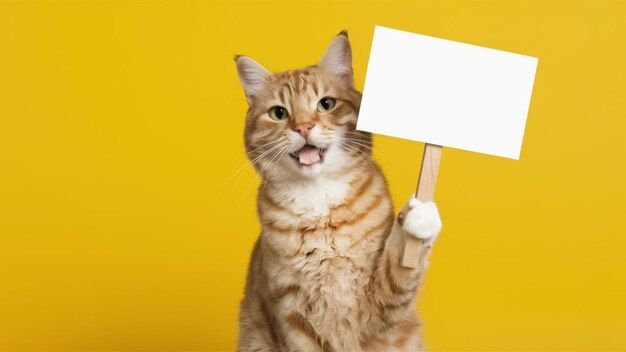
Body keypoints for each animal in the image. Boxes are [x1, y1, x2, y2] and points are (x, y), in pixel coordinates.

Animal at [234, 31, 444, 352]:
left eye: (326, 104)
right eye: (279, 113)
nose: (303, 127)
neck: (320, 203)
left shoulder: (381, 305)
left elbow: (399, 262)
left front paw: (419, 218)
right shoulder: (290, 315)